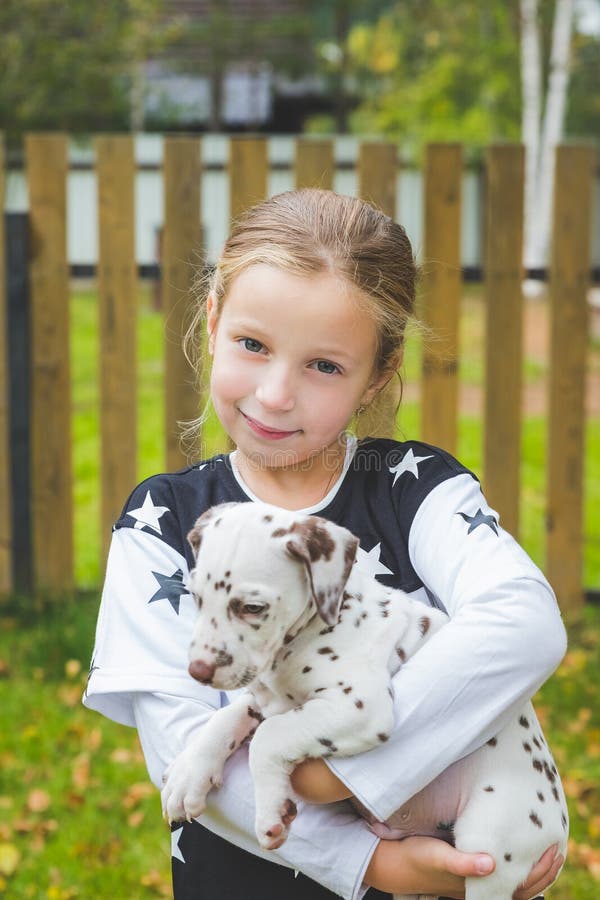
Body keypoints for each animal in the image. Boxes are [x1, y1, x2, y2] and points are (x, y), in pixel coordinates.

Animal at [162, 502, 568, 896]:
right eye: (196, 597)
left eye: (252, 608)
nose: (198, 670)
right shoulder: (267, 699)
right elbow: (226, 718)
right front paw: (188, 773)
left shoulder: (359, 707)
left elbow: (269, 736)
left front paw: (271, 811)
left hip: (490, 844)